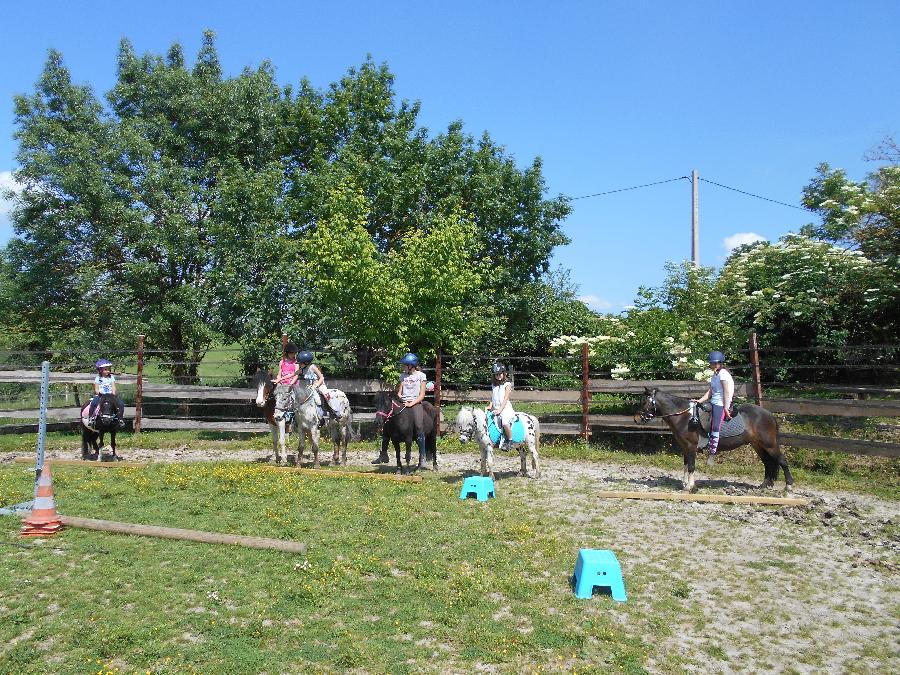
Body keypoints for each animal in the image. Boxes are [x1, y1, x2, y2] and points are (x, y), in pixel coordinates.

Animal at [632, 388, 796, 494]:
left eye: (645, 402)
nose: (636, 419)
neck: (685, 417)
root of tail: (769, 414)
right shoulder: (684, 447)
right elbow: (685, 465)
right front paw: (684, 484)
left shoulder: (691, 446)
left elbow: (691, 466)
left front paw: (690, 487)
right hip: (758, 445)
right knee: (768, 463)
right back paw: (765, 485)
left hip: (770, 445)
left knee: (782, 460)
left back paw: (788, 486)